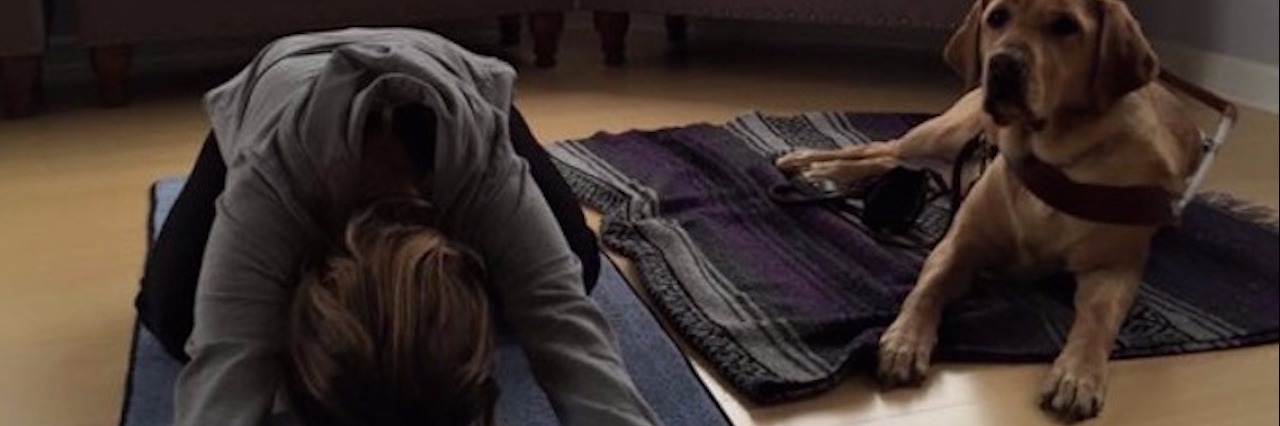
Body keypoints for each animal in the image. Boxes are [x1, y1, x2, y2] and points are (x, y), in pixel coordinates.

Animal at [773, 0, 1203, 417]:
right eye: (997, 17)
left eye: (1066, 26)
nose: (1002, 64)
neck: (1053, 159)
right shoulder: (959, 245)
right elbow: (927, 289)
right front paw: (904, 341)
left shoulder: (1113, 268)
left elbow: (1097, 319)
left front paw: (1078, 375)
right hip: (941, 133)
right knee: (880, 146)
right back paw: (810, 162)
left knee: (886, 160)